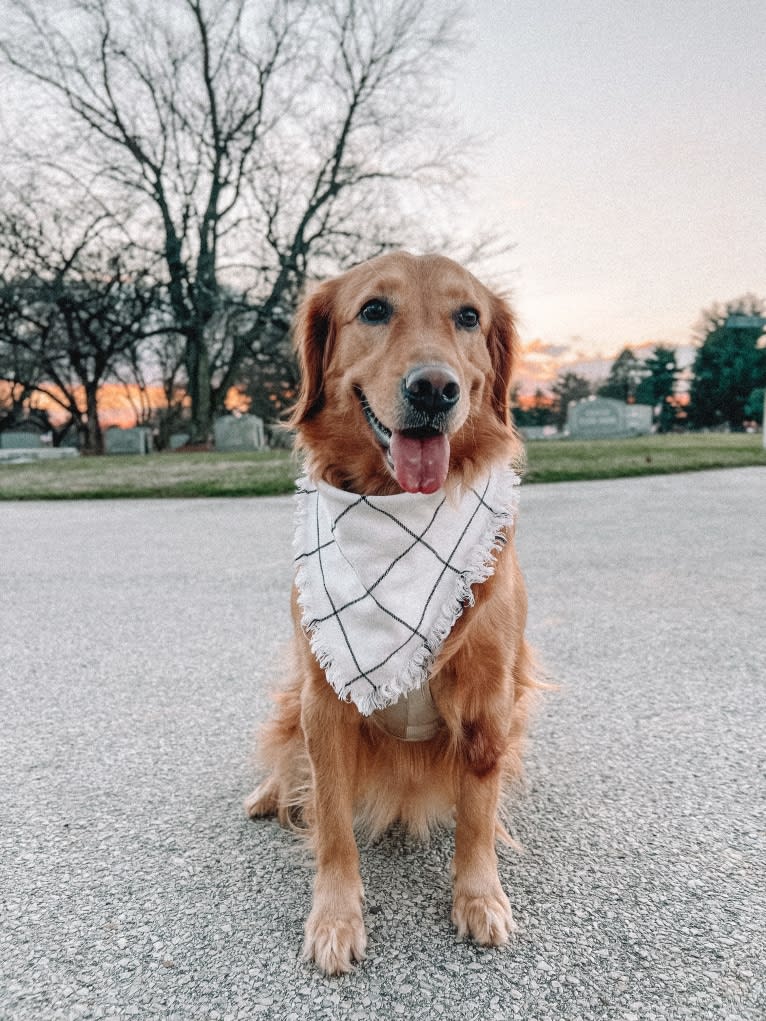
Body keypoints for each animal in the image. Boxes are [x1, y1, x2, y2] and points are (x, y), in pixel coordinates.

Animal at [246, 249, 535, 971]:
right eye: (374, 309)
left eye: (469, 316)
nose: (435, 389)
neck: (397, 507)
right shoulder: (322, 697)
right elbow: (331, 821)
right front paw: (335, 917)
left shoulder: (489, 698)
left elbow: (478, 813)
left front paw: (479, 896)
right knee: (286, 755)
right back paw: (267, 794)